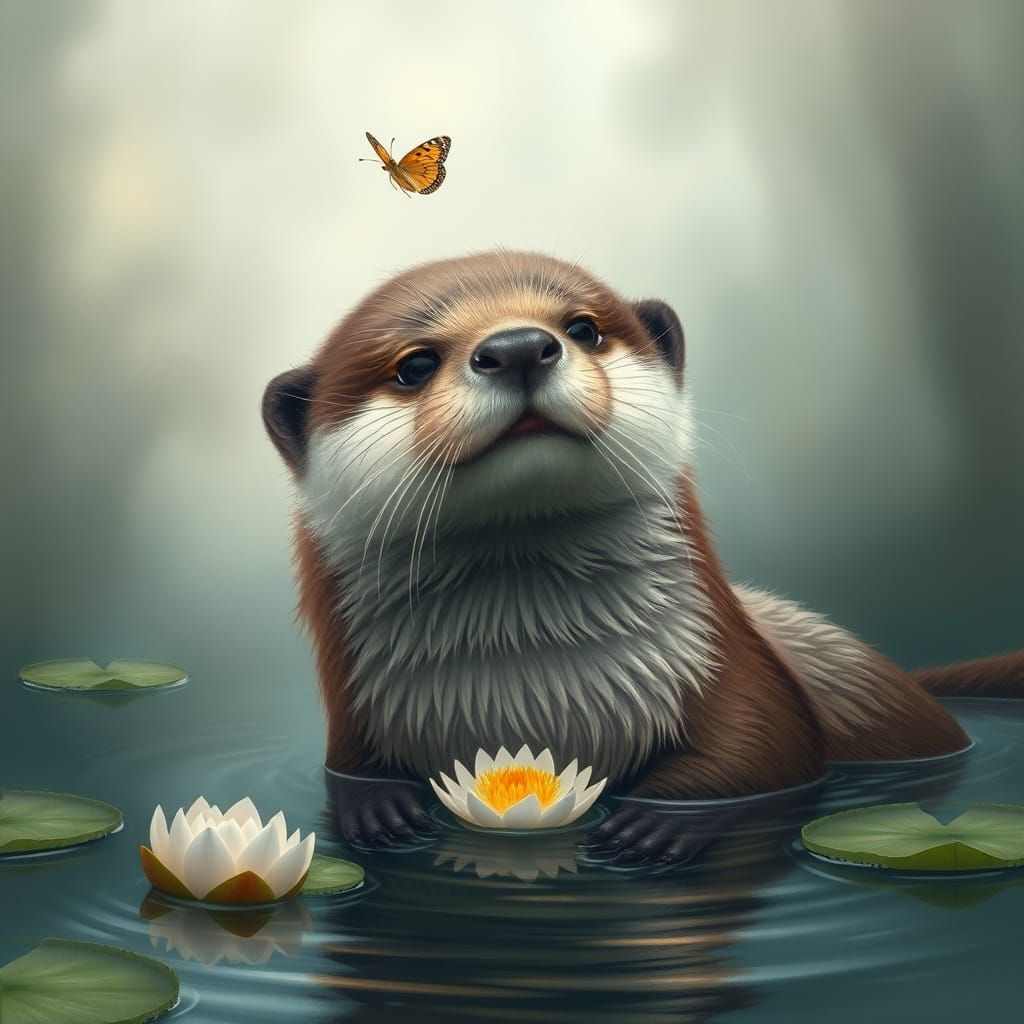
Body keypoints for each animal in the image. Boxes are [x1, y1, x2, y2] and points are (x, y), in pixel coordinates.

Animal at [263, 250, 1023, 864]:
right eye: (414, 364)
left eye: (583, 328)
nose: (519, 346)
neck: (537, 693)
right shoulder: (355, 720)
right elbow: (352, 778)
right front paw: (380, 811)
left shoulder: (733, 674)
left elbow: (768, 751)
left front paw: (656, 823)